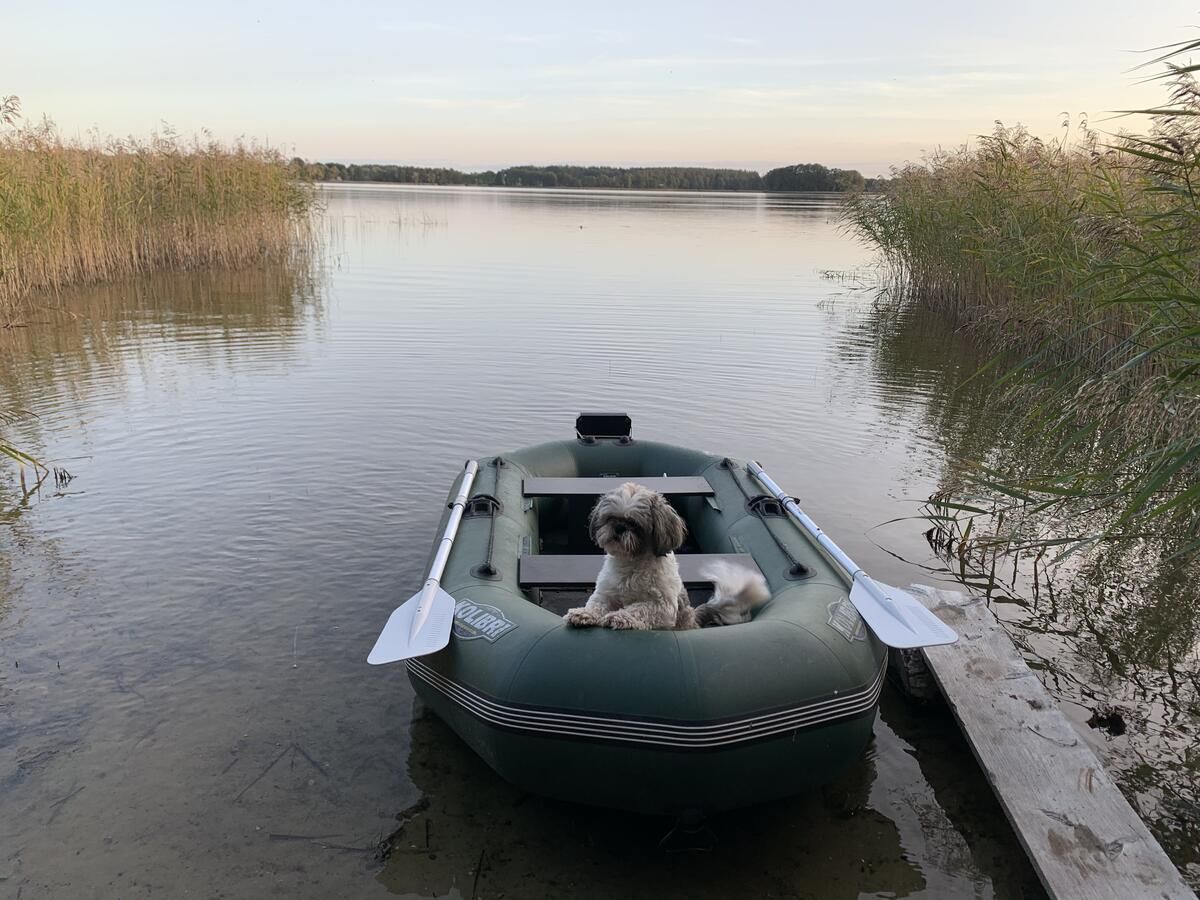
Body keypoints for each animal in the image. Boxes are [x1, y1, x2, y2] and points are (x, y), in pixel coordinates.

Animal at [561, 482, 768, 628]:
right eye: (610, 518)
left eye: (635, 524)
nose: (619, 527)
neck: (631, 563)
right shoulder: (606, 593)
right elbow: (596, 604)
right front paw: (583, 613)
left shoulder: (662, 606)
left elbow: (638, 608)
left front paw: (620, 616)